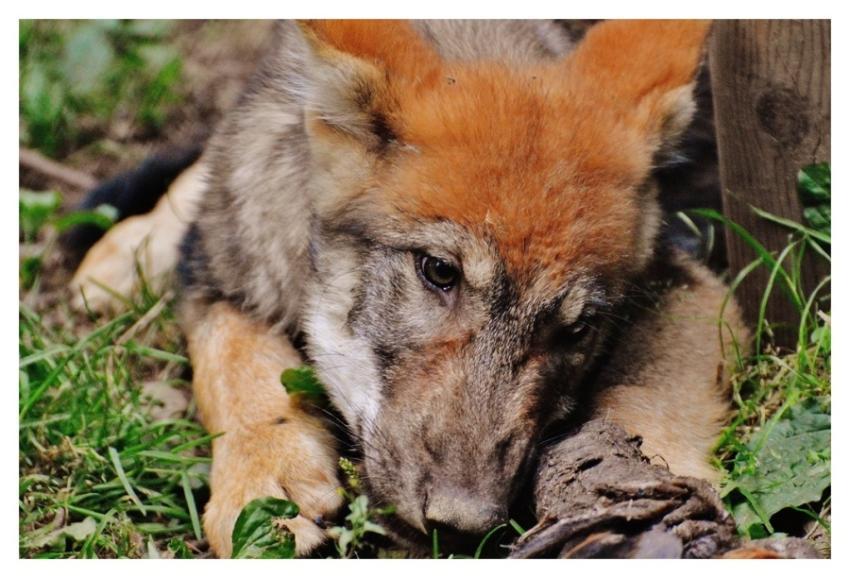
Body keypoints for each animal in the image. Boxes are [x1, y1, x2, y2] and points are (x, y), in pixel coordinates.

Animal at [70, 20, 747, 556]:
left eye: (577, 329)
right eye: (439, 272)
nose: (463, 525)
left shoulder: (692, 288)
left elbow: (648, 403)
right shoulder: (220, 274)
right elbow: (234, 366)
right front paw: (264, 479)